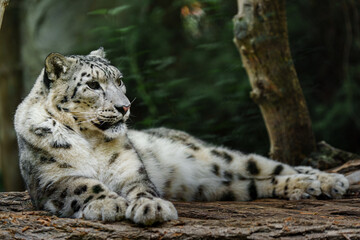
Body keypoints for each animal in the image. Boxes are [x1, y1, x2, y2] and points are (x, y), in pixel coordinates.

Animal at [14, 48, 348, 225]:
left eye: (119, 80)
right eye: (93, 85)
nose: (124, 106)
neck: (92, 141)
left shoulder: (130, 168)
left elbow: (142, 187)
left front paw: (152, 208)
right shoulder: (50, 179)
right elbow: (82, 185)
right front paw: (107, 204)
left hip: (220, 158)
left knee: (271, 166)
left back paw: (328, 181)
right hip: (216, 187)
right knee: (259, 183)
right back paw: (306, 187)